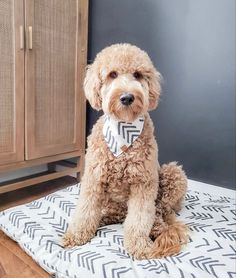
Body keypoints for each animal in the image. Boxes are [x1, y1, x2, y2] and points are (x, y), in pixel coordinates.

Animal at [63, 43, 188, 258]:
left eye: (137, 75)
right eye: (112, 74)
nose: (127, 97)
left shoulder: (144, 183)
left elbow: (139, 219)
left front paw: (139, 245)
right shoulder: (94, 178)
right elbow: (85, 211)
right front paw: (76, 235)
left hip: (172, 174)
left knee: (159, 212)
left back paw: (157, 225)